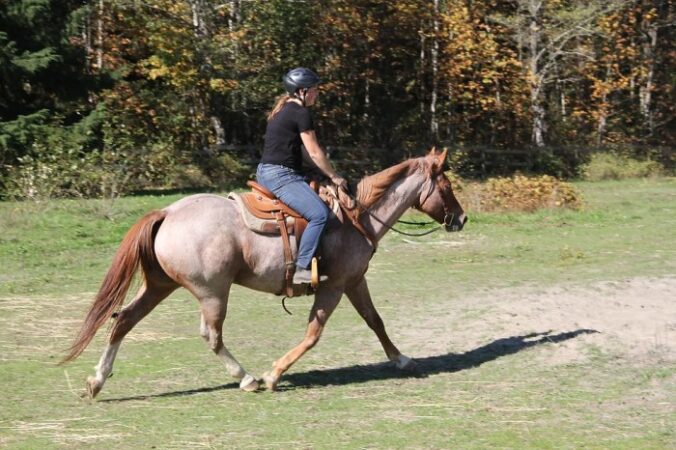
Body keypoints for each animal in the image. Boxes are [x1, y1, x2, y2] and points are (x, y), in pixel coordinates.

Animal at [62, 146, 464, 396]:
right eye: (446, 185)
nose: (461, 218)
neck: (357, 217)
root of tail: (168, 212)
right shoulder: (334, 286)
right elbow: (313, 333)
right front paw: (273, 374)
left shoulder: (354, 281)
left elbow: (375, 320)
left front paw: (401, 358)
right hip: (212, 292)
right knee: (211, 335)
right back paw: (247, 379)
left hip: (160, 286)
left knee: (124, 320)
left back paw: (97, 381)